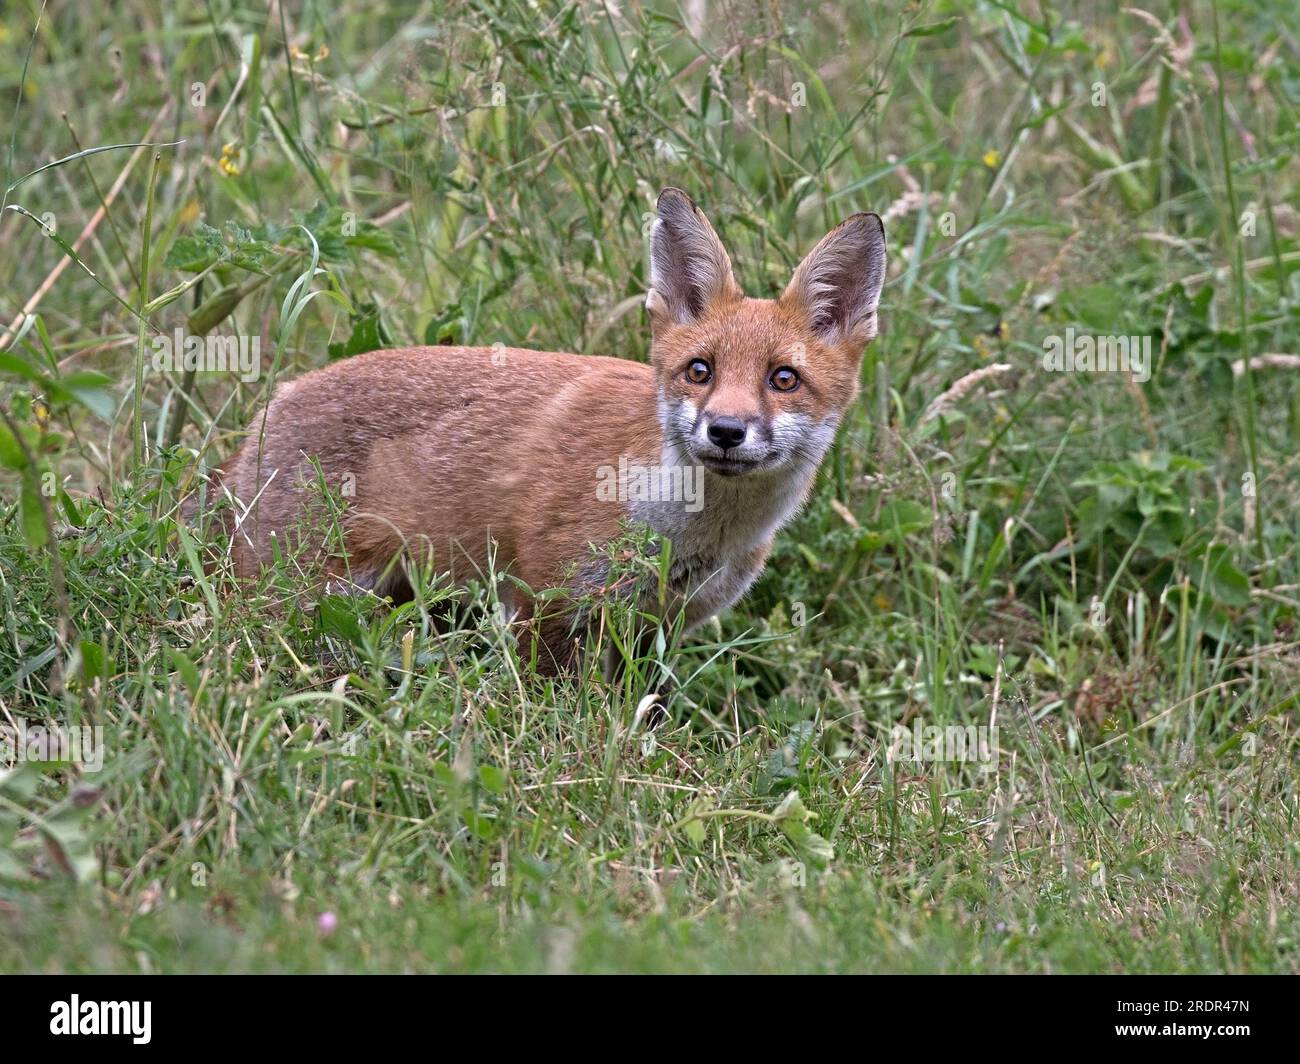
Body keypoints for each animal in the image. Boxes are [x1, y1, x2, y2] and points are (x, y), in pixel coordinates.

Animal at [206, 188, 886, 673]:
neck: (686, 533)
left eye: (783, 378)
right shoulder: (549, 600)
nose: (725, 430)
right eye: (701, 370)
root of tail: (269, 408)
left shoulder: (660, 627)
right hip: (301, 599)